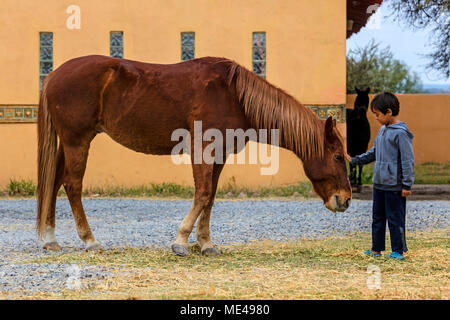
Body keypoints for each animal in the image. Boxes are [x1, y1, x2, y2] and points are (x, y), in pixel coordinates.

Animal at [37, 54, 352, 255]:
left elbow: (210, 198)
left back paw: (50, 239)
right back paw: (90, 241)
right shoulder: (203, 150)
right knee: (72, 186)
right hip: (77, 141)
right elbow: (201, 194)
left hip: (68, 144)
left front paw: (206, 243)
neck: (234, 94)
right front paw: (181, 241)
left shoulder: (220, 155)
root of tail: (54, 75)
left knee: (54, 182)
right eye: (338, 157)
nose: (345, 200)